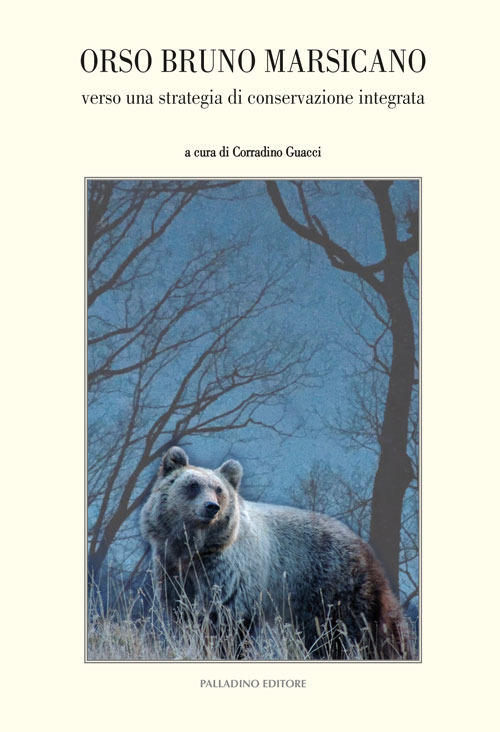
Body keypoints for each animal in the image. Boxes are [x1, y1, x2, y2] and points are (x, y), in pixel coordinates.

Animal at [140, 446, 413, 660]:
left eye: (218, 489)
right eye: (192, 485)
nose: (211, 507)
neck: (195, 549)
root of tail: (361, 543)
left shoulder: (230, 575)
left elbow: (228, 621)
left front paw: (227, 651)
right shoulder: (174, 571)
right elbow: (186, 616)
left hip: (331, 585)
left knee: (367, 629)